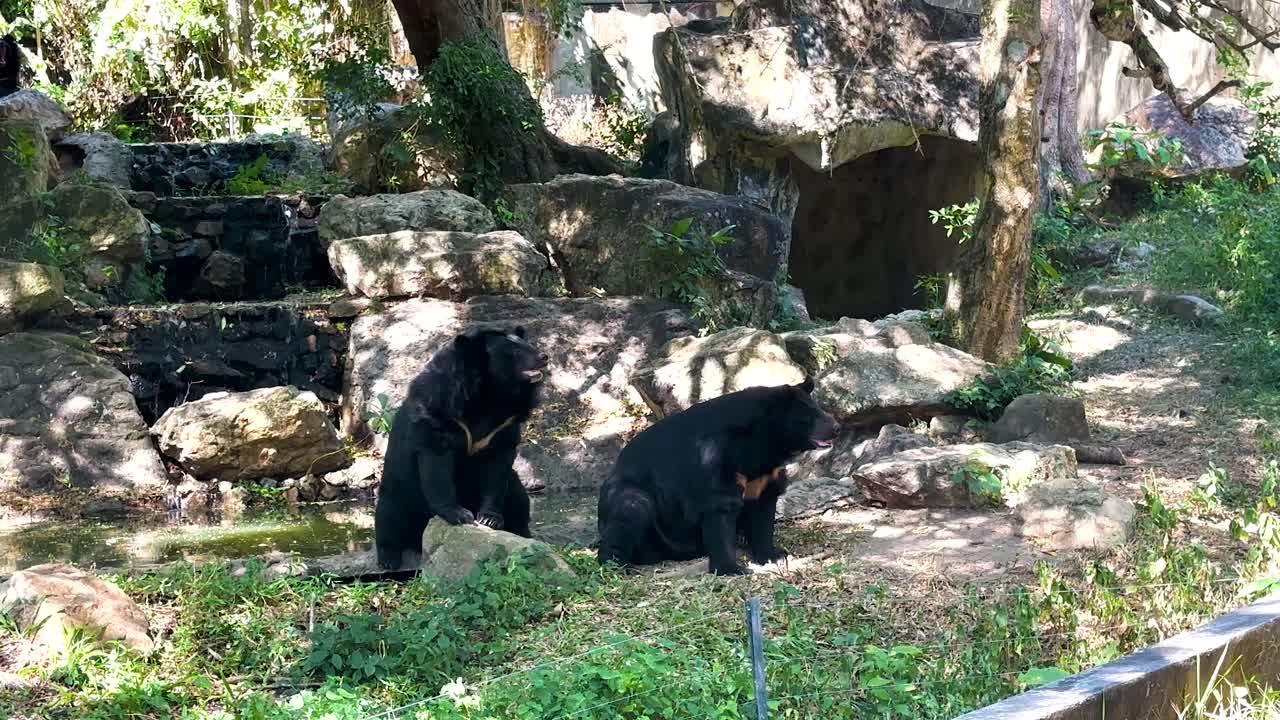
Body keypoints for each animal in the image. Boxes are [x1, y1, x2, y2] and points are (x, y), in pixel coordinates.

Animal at [374, 324, 548, 570]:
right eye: (514, 352)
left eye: (527, 345)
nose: (544, 357)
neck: (491, 395)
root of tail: (419, 542)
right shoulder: (438, 413)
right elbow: (436, 467)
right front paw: (459, 515)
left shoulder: (504, 425)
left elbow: (497, 470)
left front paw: (489, 518)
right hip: (398, 491)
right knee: (388, 516)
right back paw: (389, 559)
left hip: (515, 486)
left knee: (520, 500)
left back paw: (524, 534)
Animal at [596, 379, 838, 575]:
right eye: (810, 416)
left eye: (820, 410)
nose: (836, 428)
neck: (761, 444)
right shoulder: (715, 456)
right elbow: (721, 507)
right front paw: (731, 569)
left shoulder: (765, 476)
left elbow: (764, 509)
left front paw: (773, 555)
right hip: (634, 498)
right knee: (631, 509)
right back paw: (615, 564)